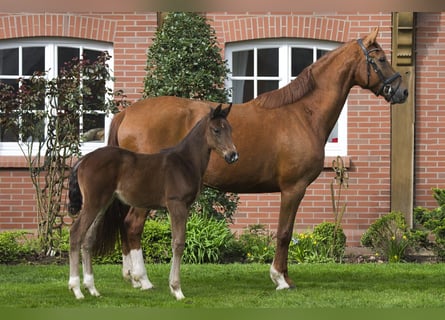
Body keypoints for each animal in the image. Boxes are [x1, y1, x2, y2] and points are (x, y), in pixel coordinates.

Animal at [67, 104, 236, 300]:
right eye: (216, 130)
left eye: (230, 129)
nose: (233, 155)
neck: (185, 162)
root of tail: (83, 160)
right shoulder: (176, 204)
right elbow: (178, 243)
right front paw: (176, 289)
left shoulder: (183, 206)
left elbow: (177, 242)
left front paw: (173, 287)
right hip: (93, 203)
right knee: (76, 233)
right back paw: (76, 289)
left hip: (102, 204)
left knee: (88, 238)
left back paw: (92, 288)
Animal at [106, 28, 408, 292]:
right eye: (381, 58)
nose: (402, 91)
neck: (303, 113)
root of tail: (127, 113)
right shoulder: (293, 188)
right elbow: (285, 233)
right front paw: (280, 279)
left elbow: (286, 232)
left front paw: (286, 277)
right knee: (133, 225)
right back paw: (143, 280)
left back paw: (132, 278)